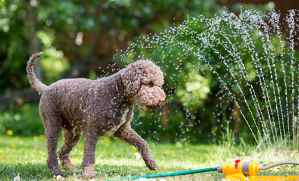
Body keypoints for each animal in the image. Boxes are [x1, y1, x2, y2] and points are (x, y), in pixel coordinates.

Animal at [25, 51, 166, 179]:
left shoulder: (122, 130)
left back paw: (71, 168)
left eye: (159, 84)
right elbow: (89, 157)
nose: (162, 100)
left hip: (73, 133)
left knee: (62, 151)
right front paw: (89, 174)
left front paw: (151, 163)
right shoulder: (92, 131)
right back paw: (57, 173)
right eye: (149, 83)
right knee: (51, 154)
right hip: (52, 126)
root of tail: (46, 88)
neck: (116, 93)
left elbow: (143, 143)